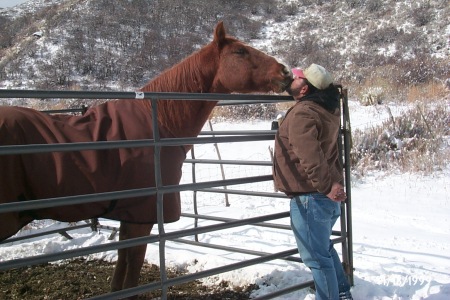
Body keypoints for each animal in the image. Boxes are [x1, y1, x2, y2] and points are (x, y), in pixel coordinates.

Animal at [0, 21, 292, 298]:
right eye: (240, 51)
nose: (286, 72)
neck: (158, 123)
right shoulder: (143, 216)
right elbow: (132, 272)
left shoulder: (130, 217)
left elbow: (120, 273)